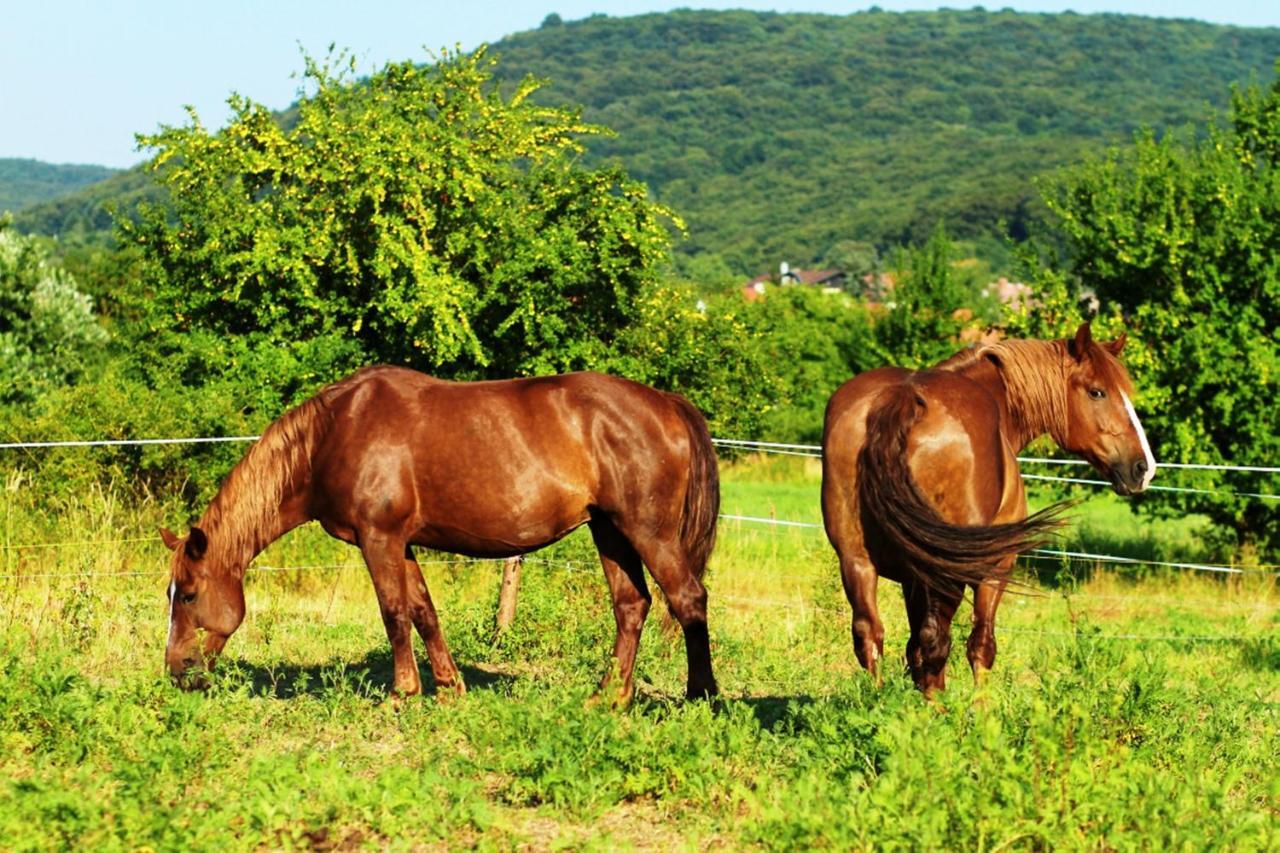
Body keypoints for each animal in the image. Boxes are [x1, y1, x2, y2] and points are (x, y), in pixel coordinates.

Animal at [161, 366, 721, 701]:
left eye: (187, 594)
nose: (177, 670)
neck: (334, 433)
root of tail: (666, 402)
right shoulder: (401, 542)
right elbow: (423, 611)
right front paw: (449, 688)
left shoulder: (379, 539)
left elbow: (393, 613)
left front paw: (401, 693)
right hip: (610, 532)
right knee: (632, 606)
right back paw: (609, 696)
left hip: (647, 532)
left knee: (688, 600)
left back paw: (700, 694)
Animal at [824, 322, 1157, 696]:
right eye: (1097, 392)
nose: (1143, 468)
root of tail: (901, 397)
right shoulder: (996, 569)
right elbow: (980, 646)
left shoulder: (912, 578)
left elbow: (914, 653)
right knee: (935, 641)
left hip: (858, 563)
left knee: (871, 635)